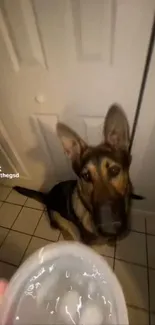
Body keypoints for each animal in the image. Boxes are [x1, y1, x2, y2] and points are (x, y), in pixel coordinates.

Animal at [13, 105, 142, 244]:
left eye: (114, 170)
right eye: (86, 176)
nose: (109, 228)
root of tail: (47, 196)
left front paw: (112, 240)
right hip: (57, 217)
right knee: (64, 230)